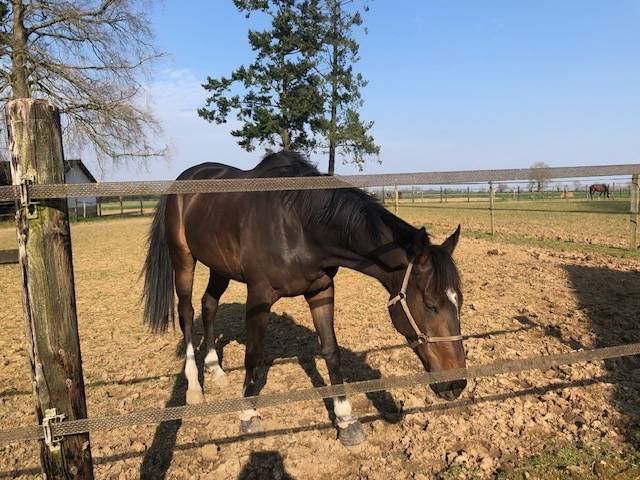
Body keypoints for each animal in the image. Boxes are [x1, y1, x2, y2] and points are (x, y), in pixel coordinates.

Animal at [142, 151, 466, 447]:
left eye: (459, 302)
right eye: (430, 304)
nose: (457, 383)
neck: (300, 226)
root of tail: (183, 180)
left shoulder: (321, 291)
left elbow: (331, 351)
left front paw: (346, 419)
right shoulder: (258, 295)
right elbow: (254, 355)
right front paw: (247, 415)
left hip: (219, 266)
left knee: (209, 305)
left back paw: (215, 369)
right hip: (183, 260)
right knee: (186, 312)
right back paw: (195, 387)